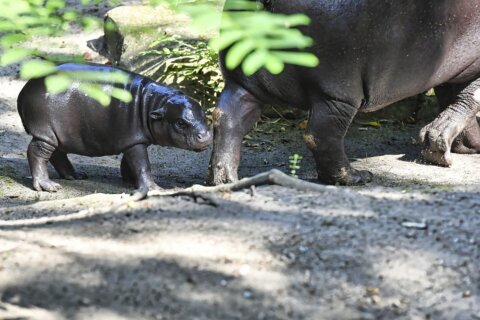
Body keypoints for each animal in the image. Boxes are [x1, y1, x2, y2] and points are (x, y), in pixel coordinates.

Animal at [17, 63, 212, 191]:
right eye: (180, 123)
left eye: (204, 114)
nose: (206, 136)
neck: (153, 103)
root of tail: (25, 89)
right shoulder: (135, 141)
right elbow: (142, 165)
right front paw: (155, 188)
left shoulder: (134, 139)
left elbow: (131, 162)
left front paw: (130, 181)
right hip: (46, 132)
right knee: (37, 152)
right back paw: (47, 186)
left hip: (57, 134)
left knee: (57, 153)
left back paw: (75, 175)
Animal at [207, 0, 480, 185]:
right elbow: (469, 100)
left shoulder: (453, 71)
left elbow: (456, 101)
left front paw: (461, 145)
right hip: (337, 94)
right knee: (321, 135)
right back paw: (356, 177)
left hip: (242, 82)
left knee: (227, 119)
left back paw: (224, 179)